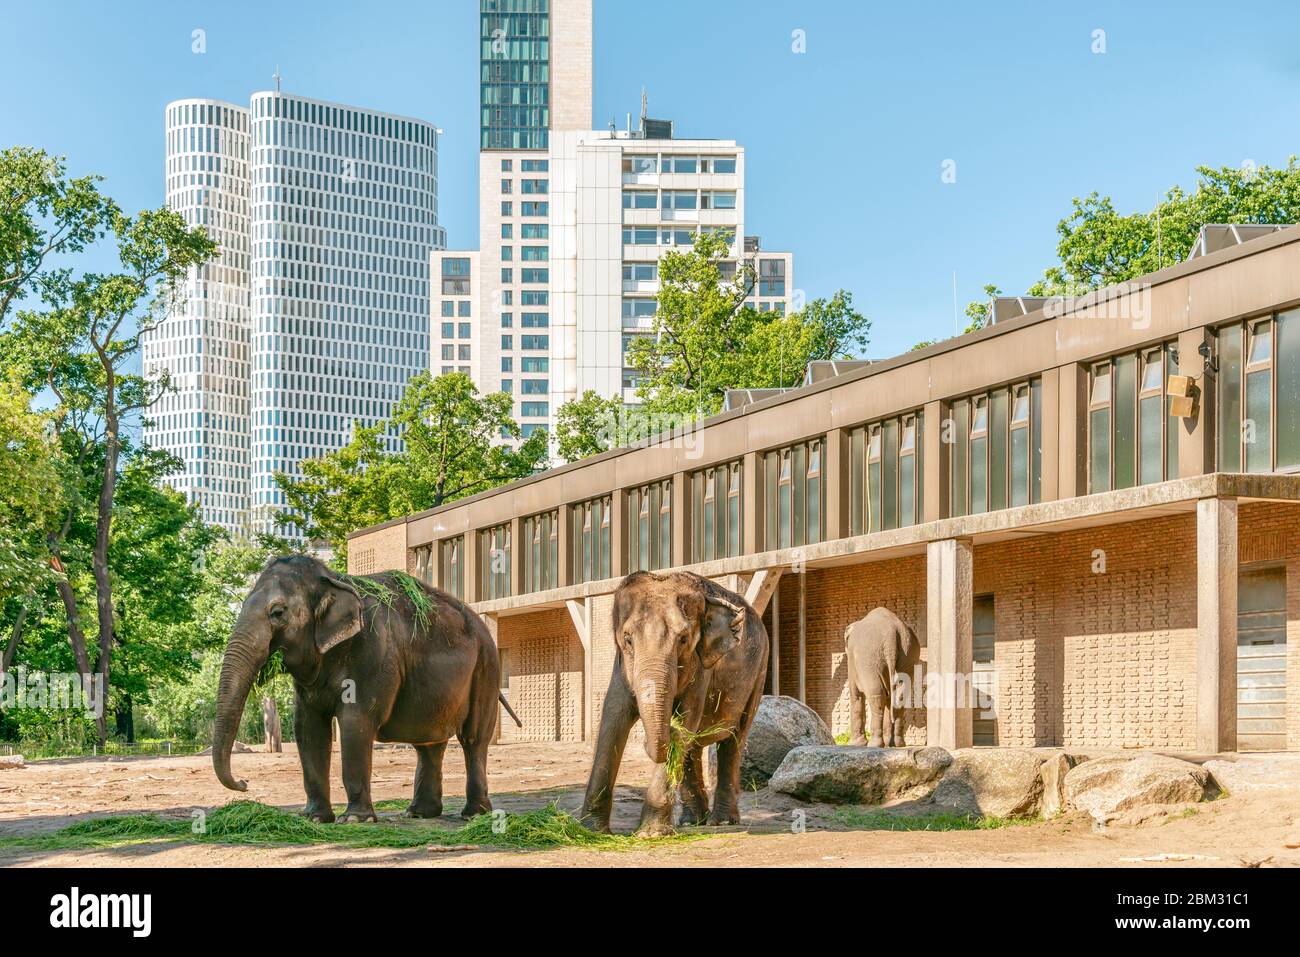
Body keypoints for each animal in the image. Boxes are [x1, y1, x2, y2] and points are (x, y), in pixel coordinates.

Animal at [211, 553, 517, 821]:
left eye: (277, 612)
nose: (244, 783)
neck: (333, 579)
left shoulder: (372, 653)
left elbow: (355, 722)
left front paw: (355, 820)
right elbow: (307, 727)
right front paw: (313, 818)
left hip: (486, 668)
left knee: (473, 739)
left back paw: (473, 814)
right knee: (428, 743)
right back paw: (419, 813)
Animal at [577, 572, 764, 832]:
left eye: (683, 639)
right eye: (627, 640)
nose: (649, 741)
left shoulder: (700, 667)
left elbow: (686, 718)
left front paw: (650, 834)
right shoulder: (621, 666)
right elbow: (613, 718)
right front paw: (590, 830)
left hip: (759, 672)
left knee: (734, 740)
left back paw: (721, 821)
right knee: (693, 747)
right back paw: (693, 822)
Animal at [842, 605, 925, 748]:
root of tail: (892, 632)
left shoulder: (852, 661)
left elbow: (856, 695)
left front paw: (854, 744)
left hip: (870, 659)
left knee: (876, 695)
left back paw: (875, 745)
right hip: (908, 653)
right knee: (899, 697)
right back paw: (897, 744)